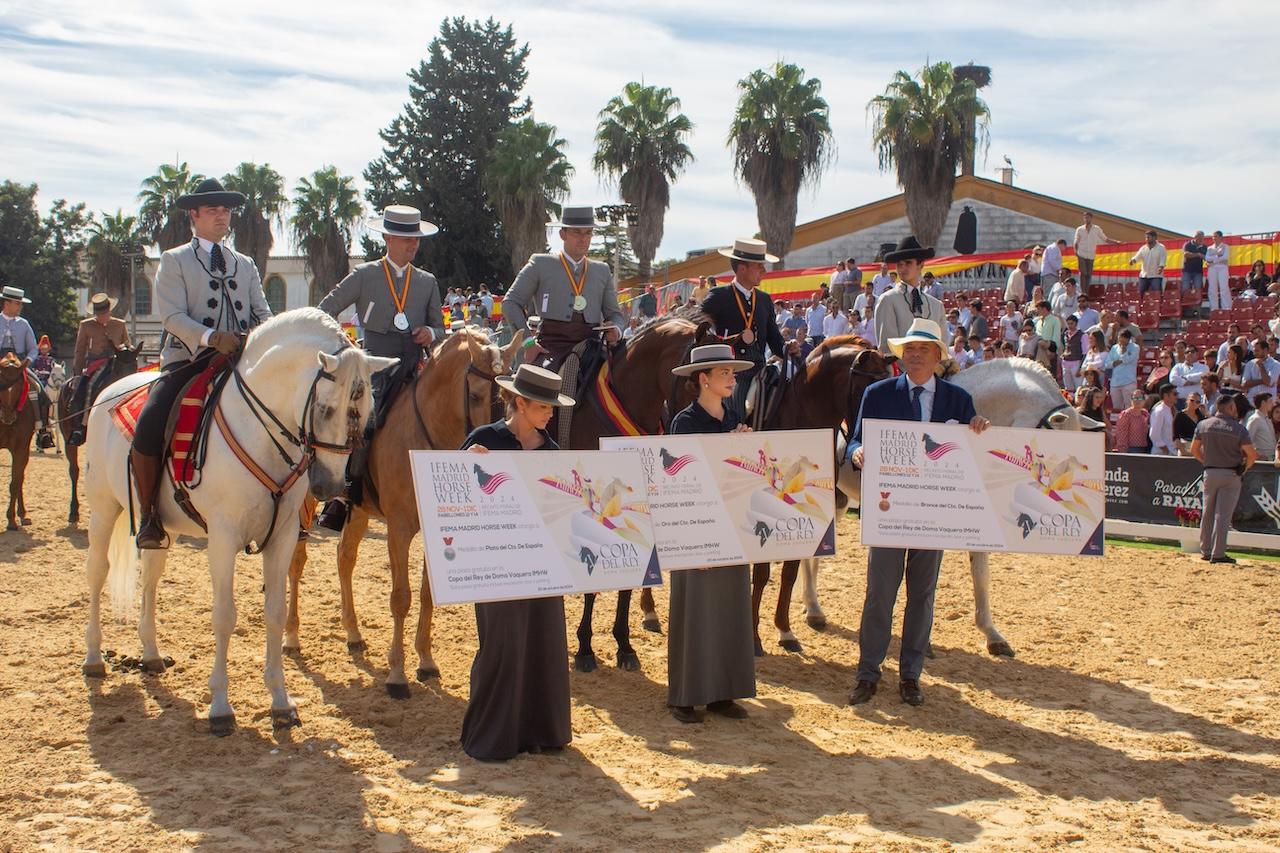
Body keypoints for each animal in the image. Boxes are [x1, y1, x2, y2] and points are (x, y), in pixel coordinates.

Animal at [82, 308, 391, 732]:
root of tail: (110, 391)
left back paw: (151, 654)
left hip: (160, 527)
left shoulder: (282, 536)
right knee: (98, 573)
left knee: (151, 578)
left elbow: (274, 612)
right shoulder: (223, 537)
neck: (260, 434)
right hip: (102, 508)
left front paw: (280, 700)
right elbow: (225, 616)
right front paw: (220, 706)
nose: (330, 485)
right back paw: (94, 658)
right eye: (327, 408)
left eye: (368, 411)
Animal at [293, 326, 517, 696]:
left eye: (510, 398)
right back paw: (290, 637)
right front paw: (397, 674)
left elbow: (427, 594)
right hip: (303, 505)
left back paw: (353, 633)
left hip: (358, 510)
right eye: (476, 395)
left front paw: (425, 660)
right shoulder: (398, 529)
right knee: (296, 563)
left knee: (344, 558)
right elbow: (401, 597)